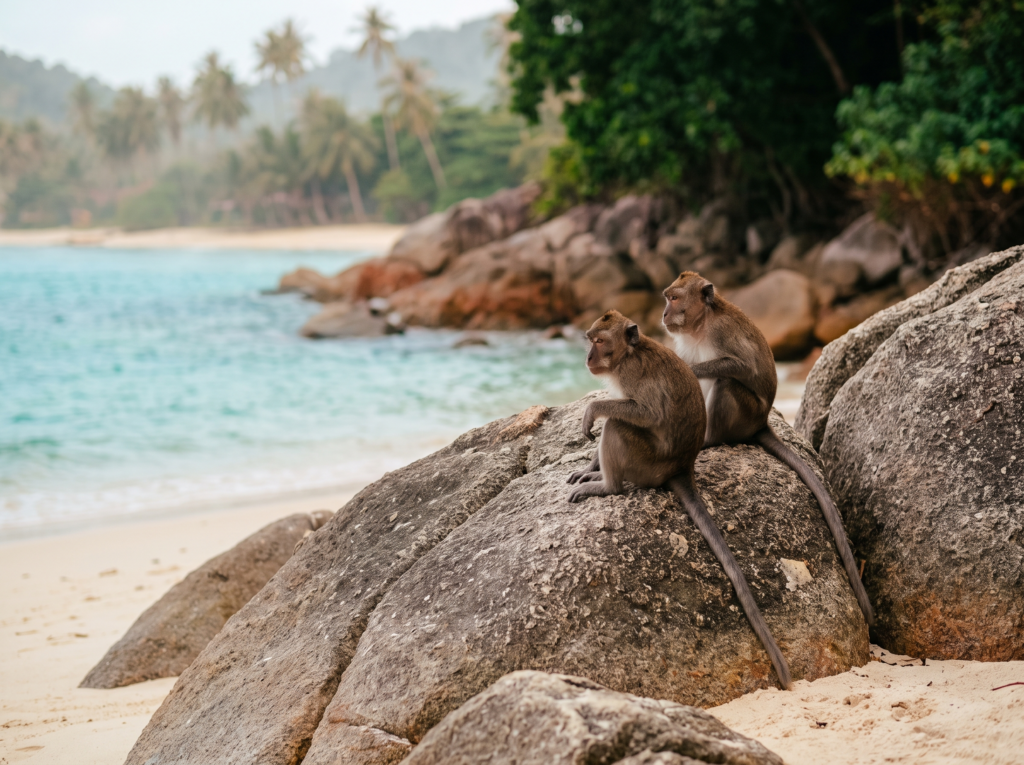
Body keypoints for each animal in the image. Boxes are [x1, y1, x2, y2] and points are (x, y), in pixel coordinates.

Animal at [567, 310, 792, 689]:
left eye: (599, 341)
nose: (588, 358)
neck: (628, 355)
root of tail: (681, 467)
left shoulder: (632, 376)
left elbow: (646, 413)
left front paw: (592, 410)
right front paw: (587, 466)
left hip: (647, 463)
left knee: (618, 425)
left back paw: (607, 486)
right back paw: (597, 476)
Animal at [661, 271, 875, 626]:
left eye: (674, 298)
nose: (664, 314)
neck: (700, 326)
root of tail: (761, 422)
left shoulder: (722, 333)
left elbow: (741, 368)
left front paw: (695, 369)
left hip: (745, 413)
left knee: (726, 381)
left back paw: (709, 439)